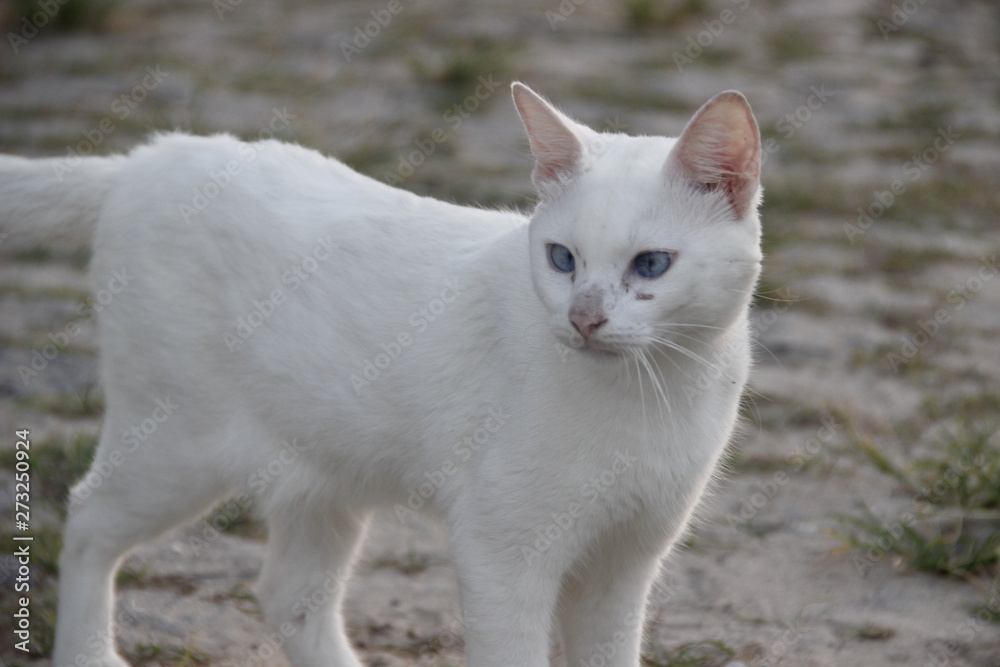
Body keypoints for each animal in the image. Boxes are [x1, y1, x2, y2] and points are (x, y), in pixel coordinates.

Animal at [0, 83, 760, 667]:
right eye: (562, 258)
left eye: (651, 265)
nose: (583, 318)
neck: (651, 394)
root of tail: (148, 157)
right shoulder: (504, 554)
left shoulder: (624, 565)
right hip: (174, 447)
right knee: (87, 518)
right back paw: (89, 654)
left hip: (324, 472)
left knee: (287, 593)